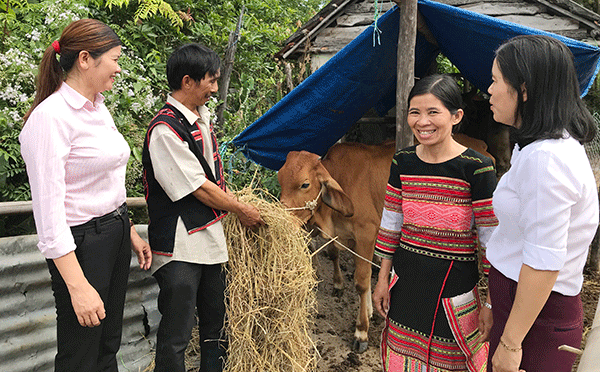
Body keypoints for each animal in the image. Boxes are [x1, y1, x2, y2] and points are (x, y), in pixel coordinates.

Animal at [278, 134, 494, 352]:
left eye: (305, 184)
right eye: (280, 178)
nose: (283, 216)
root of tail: (481, 145)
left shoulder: (366, 233)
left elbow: (361, 281)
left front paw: (361, 332)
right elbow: (351, 267)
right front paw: (369, 310)